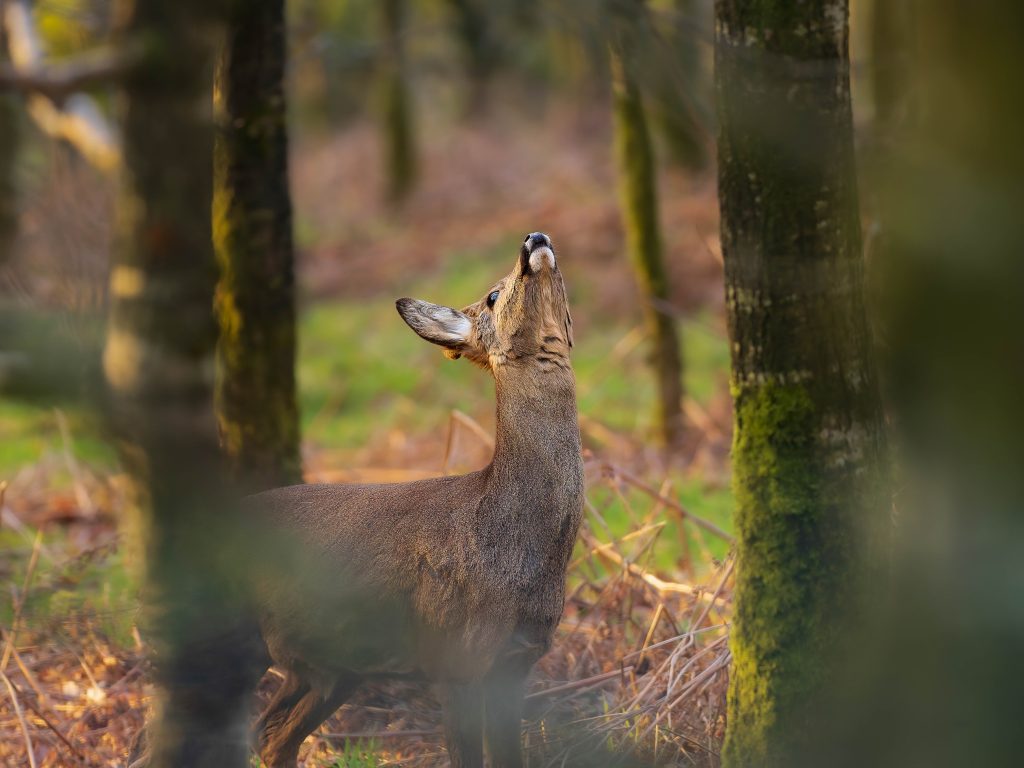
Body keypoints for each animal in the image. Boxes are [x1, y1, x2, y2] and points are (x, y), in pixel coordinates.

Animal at [248, 232, 584, 767]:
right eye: (492, 296)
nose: (534, 238)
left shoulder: (516, 662)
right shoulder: (455, 656)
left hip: (334, 666)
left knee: (271, 734)